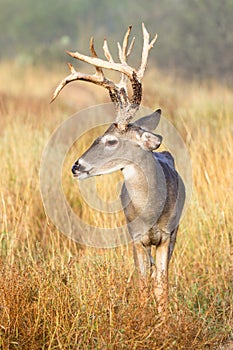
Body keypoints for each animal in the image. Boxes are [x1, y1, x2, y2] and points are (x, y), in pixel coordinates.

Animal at [51, 23, 186, 312]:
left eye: (111, 140)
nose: (76, 166)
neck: (151, 210)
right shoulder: (135, 237)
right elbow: (143, 284)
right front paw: (145, 316)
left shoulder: (168, 234)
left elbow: (162, 285)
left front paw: (163, 320)